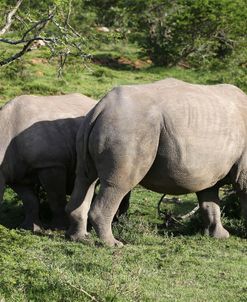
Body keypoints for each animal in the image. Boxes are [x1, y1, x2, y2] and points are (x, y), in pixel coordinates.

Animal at [66, 77, 247, 245]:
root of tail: (102, 107)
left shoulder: (209, 170)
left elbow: (210, 201)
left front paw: (220, 236)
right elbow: (238, 192)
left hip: (95, 126)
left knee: (85, 178)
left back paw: (79, 238)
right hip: (128, 127)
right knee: (117, 185)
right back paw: (112, 244)